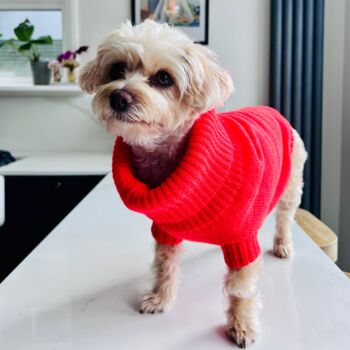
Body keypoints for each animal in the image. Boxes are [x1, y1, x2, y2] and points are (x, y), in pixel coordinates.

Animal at [79, 20, 306, 348]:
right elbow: (164, 266)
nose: (119, 97)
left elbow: (241, 289)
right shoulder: (165, 231)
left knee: (284, 219)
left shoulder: (242, 240)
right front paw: (160, 298)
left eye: (164, 78)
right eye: (116, 70)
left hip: (290, 188)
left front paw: (242, 324)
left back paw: (282, 244)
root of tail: (271, 109)